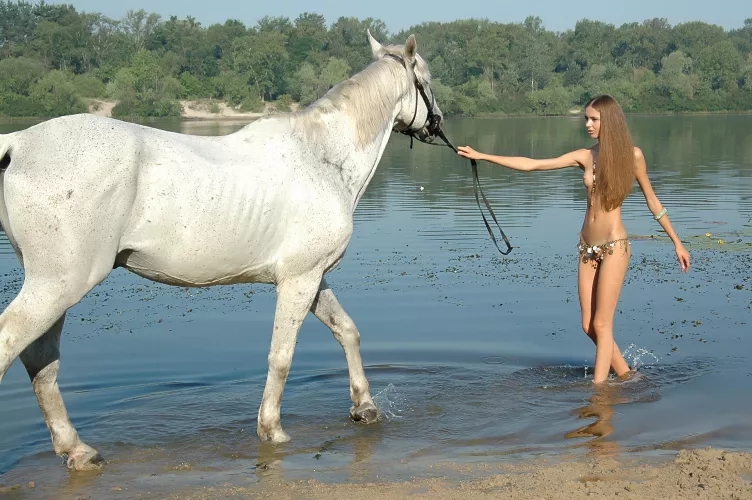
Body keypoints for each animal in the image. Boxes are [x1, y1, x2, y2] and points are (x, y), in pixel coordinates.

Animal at [0, 31, 442, 470]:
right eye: (428, 79)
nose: (436, 123)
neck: (321, 158)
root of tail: (18, 143)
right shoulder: (298, 280)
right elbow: (281, 356)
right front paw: (272, 429)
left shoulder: (313, 277)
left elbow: (346, 330)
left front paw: (364, 407)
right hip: (57, 286)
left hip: (53, 290)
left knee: (41, 363)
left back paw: (77, 449)